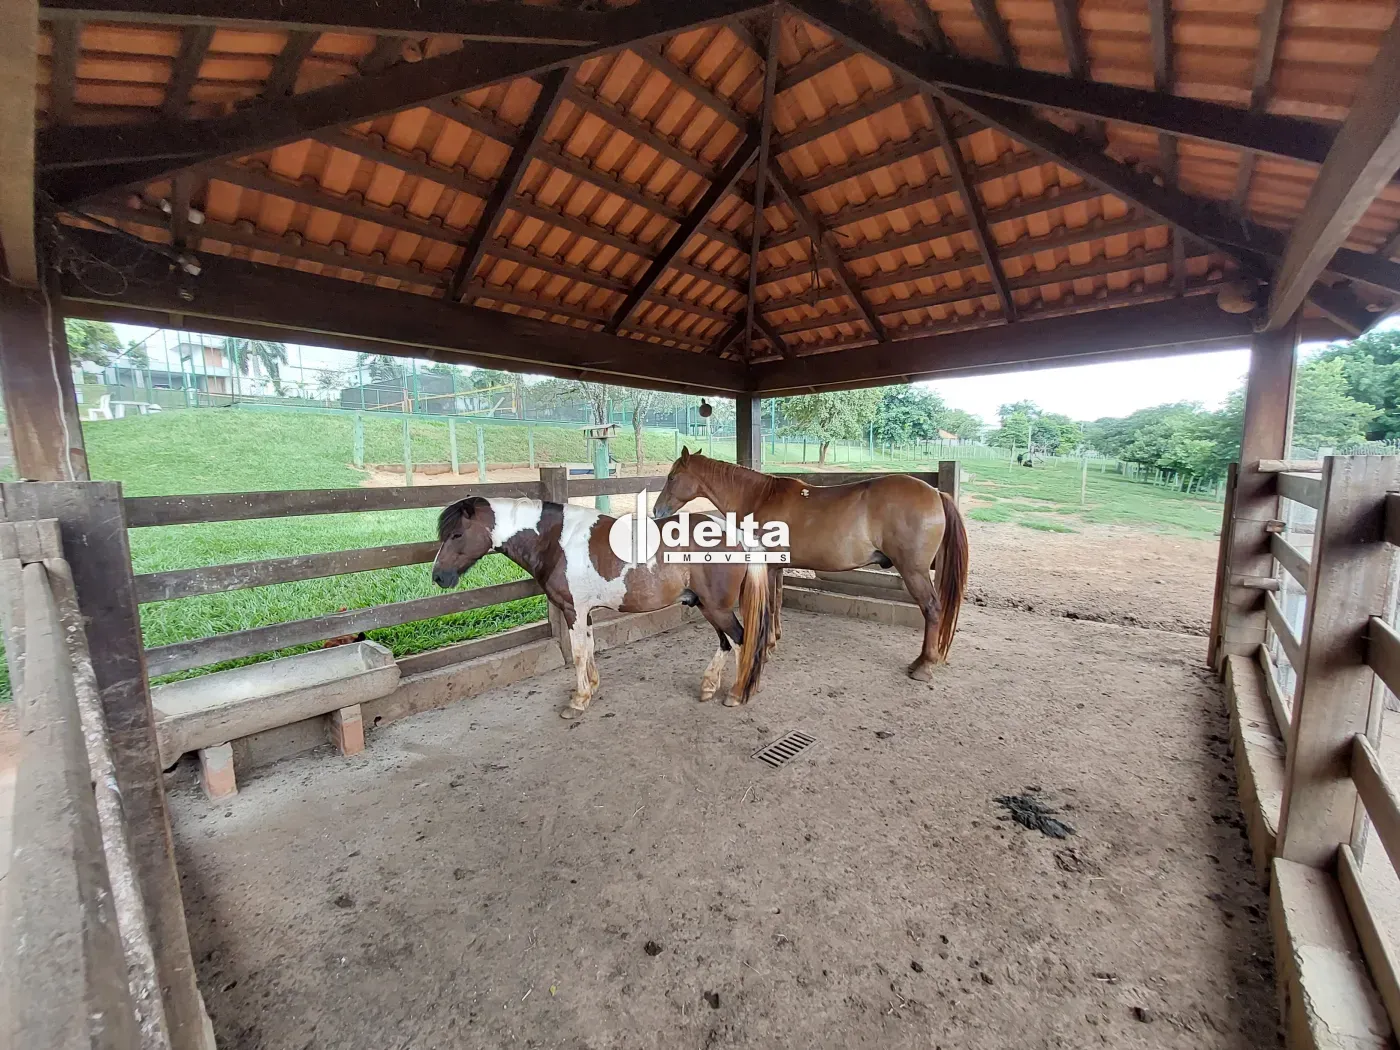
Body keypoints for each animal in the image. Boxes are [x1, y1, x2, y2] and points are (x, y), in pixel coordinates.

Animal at [431, 496, 772, 718]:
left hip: (717, 608)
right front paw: (591, 686)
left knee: (740, 641)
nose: (438, 577)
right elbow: (591, 648)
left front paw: (578, 700)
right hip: (706, 605)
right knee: (727, 643)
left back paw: (736, 693)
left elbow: (579, 653)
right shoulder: (585, 612)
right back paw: (710, 686)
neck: (557, 541)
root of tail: (733, 532)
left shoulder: (573, 610)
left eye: (457, 533)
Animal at [652, 449, 970, 680]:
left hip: (914, 572)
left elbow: (769, 605)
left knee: (932, 609)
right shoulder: (778, 567)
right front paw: (775, 639)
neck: (761, 497)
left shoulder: (767, 567)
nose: (657, 511)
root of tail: (936, 493)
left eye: (672, 477)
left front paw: (767, 645)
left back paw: (923, 666)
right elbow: (778, 602)